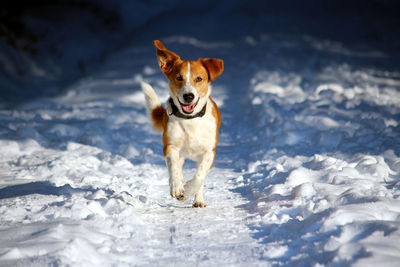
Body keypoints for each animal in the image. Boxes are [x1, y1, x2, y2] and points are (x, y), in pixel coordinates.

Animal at [141, 39, 223, 208]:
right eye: (179, 78)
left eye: (199, 78)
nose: (188, 96)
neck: (190, 119)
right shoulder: (170, 145)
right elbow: (173, 166)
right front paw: (177, 186)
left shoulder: (209, 152)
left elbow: (199, 176)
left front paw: (190, 190)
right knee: (177, 166)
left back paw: (198, 200)